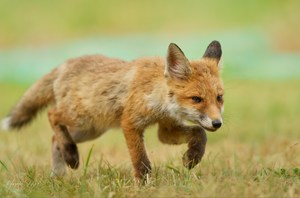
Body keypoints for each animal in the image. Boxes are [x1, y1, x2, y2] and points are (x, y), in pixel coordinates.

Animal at [1, 41, 224, 180]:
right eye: (197, 99)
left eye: (219, 98)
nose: (218, 123)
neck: (157, 94)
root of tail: (65, 64)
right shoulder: (130, 123)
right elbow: (141, 161)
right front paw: (145, 184)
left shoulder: (166, 128)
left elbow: (199, 133)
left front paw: (192, 157)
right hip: (80, 118)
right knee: (52, 116)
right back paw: (70, 155)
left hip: (90, 130)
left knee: (55, 139)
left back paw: (60, 171)